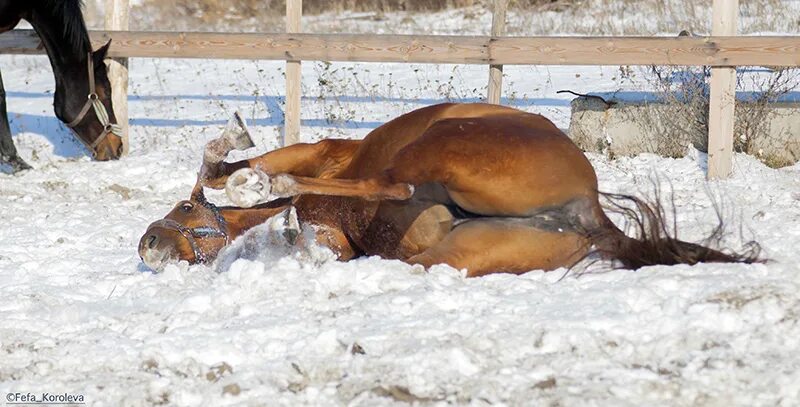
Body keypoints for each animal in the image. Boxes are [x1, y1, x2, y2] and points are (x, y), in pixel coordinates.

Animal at [141, 103, 760, 278]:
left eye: (182, 208)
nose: (148, 247)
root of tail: (587, 212)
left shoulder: (318, 152)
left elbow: (219, 166)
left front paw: (241, 165)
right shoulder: (337, 237)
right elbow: (320, 241)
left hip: (440, 143)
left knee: (395, 184)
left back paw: (267, 181)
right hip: (449, 256)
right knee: (400, 201)